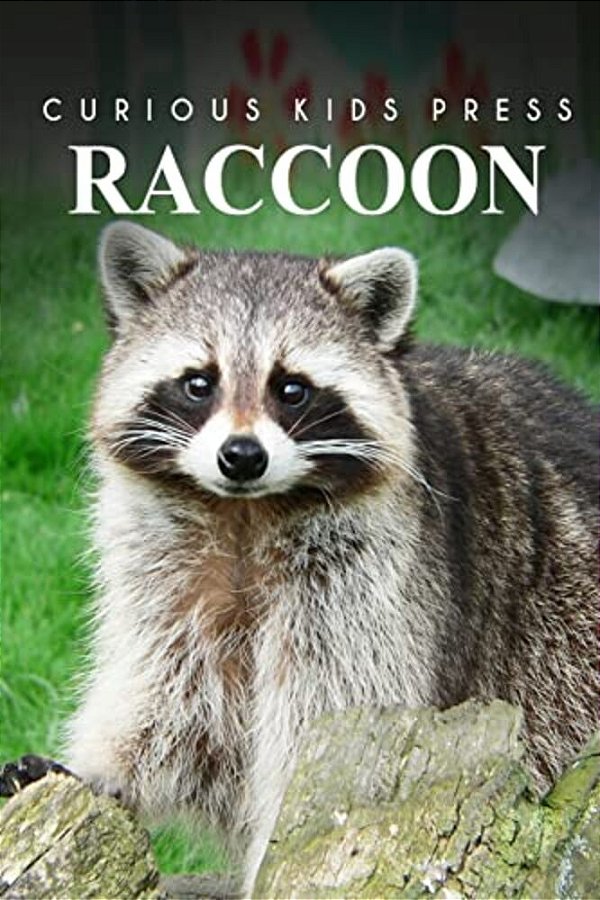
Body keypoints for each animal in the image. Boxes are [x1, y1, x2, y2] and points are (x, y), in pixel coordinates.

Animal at [63, 223, 597, 891]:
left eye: (291, 389)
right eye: (198, 382)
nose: (242, 456)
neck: (244, 514)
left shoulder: (372, 584)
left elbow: (325, 717)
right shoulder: (165, 569)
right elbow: (172, 696)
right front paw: (105, 768)